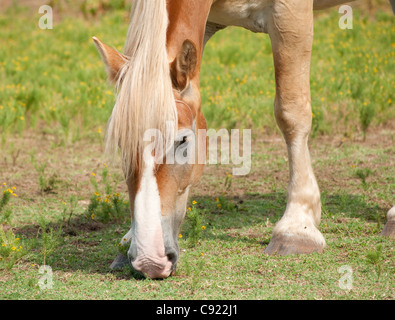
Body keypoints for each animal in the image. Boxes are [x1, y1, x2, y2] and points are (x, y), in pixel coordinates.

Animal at [93, 0, 395, 278]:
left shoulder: (291, 14)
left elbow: (291, 112)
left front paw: (296, 228)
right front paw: (128, 241)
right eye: (122, 144)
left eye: (182, 141)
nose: (150, 260)